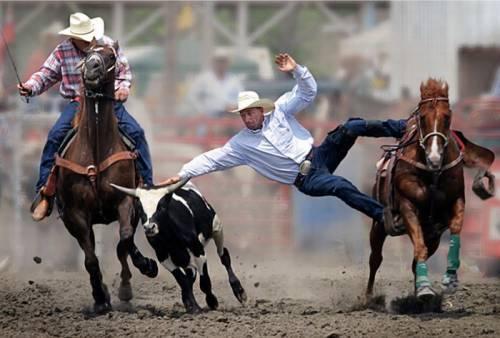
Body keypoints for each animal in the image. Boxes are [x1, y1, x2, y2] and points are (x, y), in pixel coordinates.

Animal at [366, 78, 494, 300]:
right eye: (423, 117)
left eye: (448, 117)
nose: (434, 157)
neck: (433, 173)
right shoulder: (407, 207)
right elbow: (418, 247)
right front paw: (425, 287)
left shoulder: (456, 203)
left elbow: (456, 231)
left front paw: (449, 279)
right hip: (379, 225)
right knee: (376, 258)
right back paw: (369, 296)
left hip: (432, 236)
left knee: (415, 260)